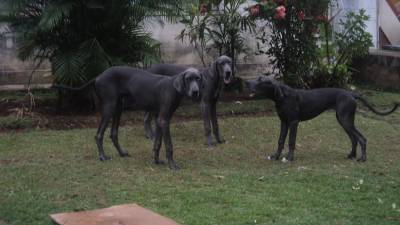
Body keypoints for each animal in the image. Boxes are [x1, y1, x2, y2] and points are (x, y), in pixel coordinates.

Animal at [245, 75, 398, 162]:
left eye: (260, 80)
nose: (246, 82)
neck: (282, 96)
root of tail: (352, 94)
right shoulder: (284, 122)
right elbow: (281, 140)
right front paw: (276, 156)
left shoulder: (293, 122)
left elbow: (291, 141)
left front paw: (289, 158)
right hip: (343, 120)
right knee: (354, 138)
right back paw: (352, 155)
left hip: (345, 120)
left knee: (361, 138)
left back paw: (362, 158)